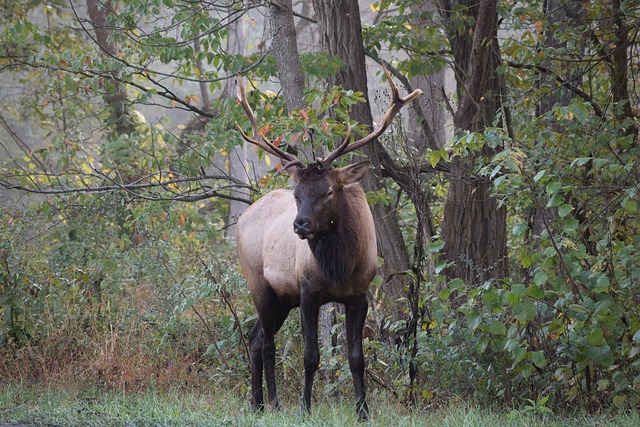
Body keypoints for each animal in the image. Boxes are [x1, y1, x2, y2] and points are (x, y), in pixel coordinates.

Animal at [234, 68, 420, 420]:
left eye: (329, 191)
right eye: (297, 194)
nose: (300, 225)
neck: (340, 268)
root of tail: (241, 218)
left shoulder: (359, 294)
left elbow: (356, 357)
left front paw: (363, 411)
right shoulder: (307, 291)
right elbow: (311, 357)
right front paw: (305, 409)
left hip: (283, 299)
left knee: (254, 339)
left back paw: (258, 403)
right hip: (258, 283)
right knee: (267, 344)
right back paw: (273, 402)